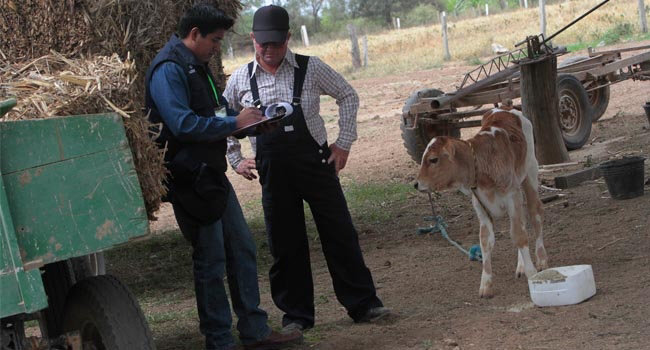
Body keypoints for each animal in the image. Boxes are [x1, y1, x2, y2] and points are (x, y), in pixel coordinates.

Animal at [412, 109, 544, 298]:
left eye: (433, 159)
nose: (416, 184)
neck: (482, 164)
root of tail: (506, 109)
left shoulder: (512, 196)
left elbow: (519, 235)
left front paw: (532, 273)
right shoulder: (481, 206)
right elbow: (486, 241)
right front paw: (486, 284)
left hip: (530, 173)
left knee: (535, 214)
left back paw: (541, 260)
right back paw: (521, 266)